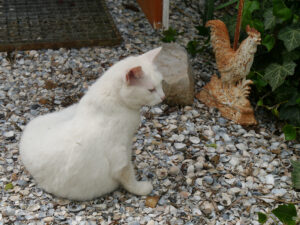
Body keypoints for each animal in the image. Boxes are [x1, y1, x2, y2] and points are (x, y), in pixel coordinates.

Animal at [19, 47, 164, 200]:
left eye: (161, 83)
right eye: (151, 90)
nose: (163, 97)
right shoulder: (120, 155)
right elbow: (128, 176)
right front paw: (141, 188)